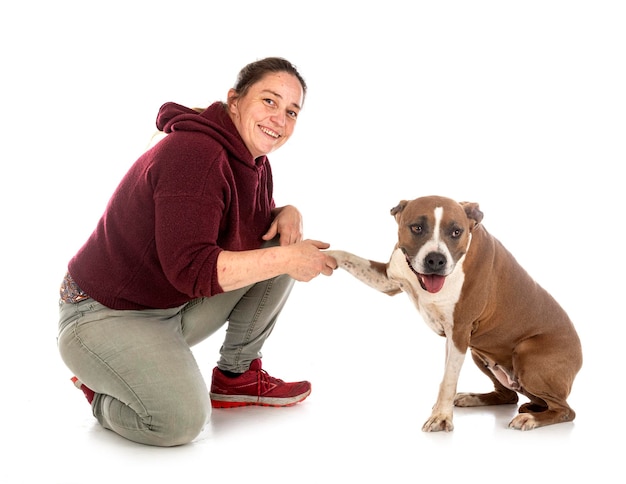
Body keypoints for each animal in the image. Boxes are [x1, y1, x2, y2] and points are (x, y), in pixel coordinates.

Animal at [326, 196, 580, 432]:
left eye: (456, 232)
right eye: (417, 228)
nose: (436, 260)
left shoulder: (459, 331)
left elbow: (448, 379)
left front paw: (440, 417)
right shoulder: (389, 280)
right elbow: (347, 256)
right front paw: (325, 255)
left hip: (525, 354)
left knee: (566, 410)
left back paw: (531, 418)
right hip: (481, 355)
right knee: (510, 395)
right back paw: (474, 398)